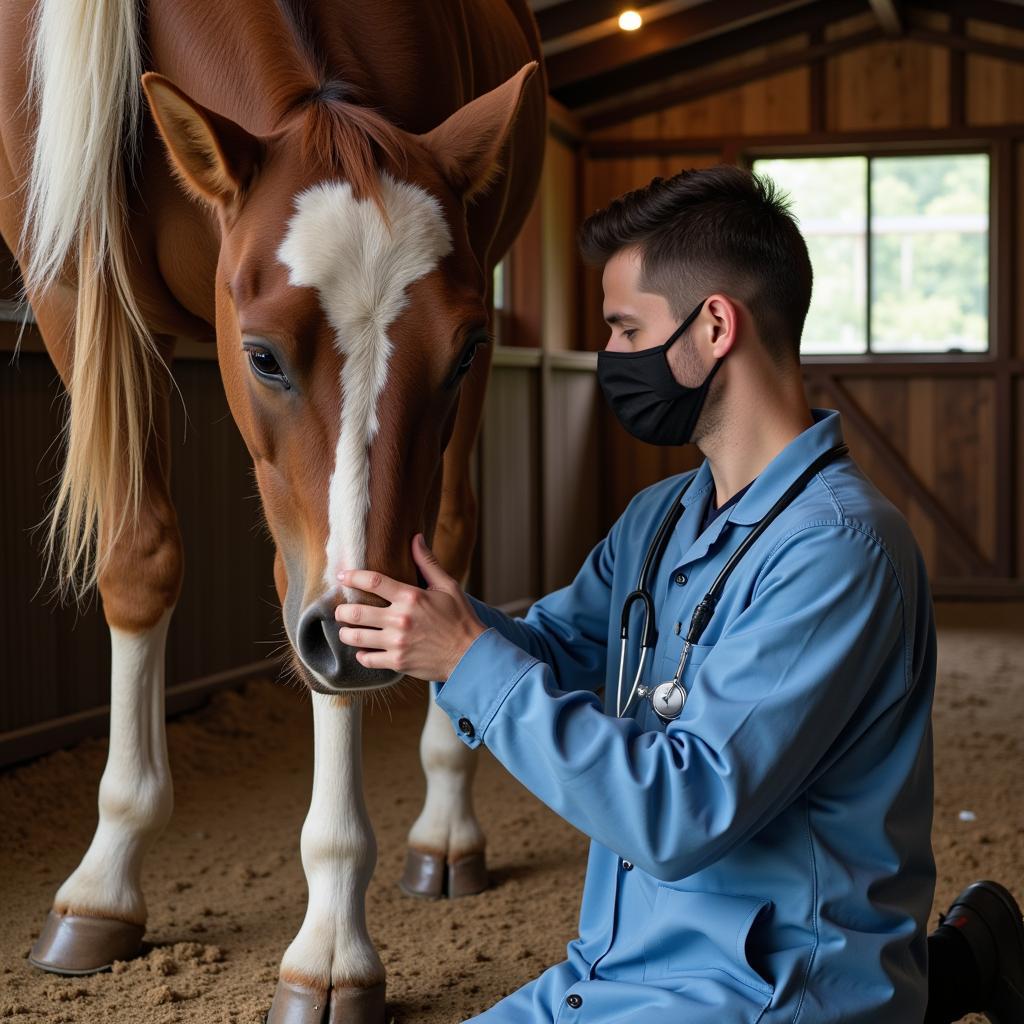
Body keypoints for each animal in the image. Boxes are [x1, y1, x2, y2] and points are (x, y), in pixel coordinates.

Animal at [0, 0, 548, 1019]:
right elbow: (141, 560)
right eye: (261, 355)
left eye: (456, 353)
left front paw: (331, 946)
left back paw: (446, 827)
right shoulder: (73, 288)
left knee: (450, 533)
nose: (361, 634)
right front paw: (103, 886)